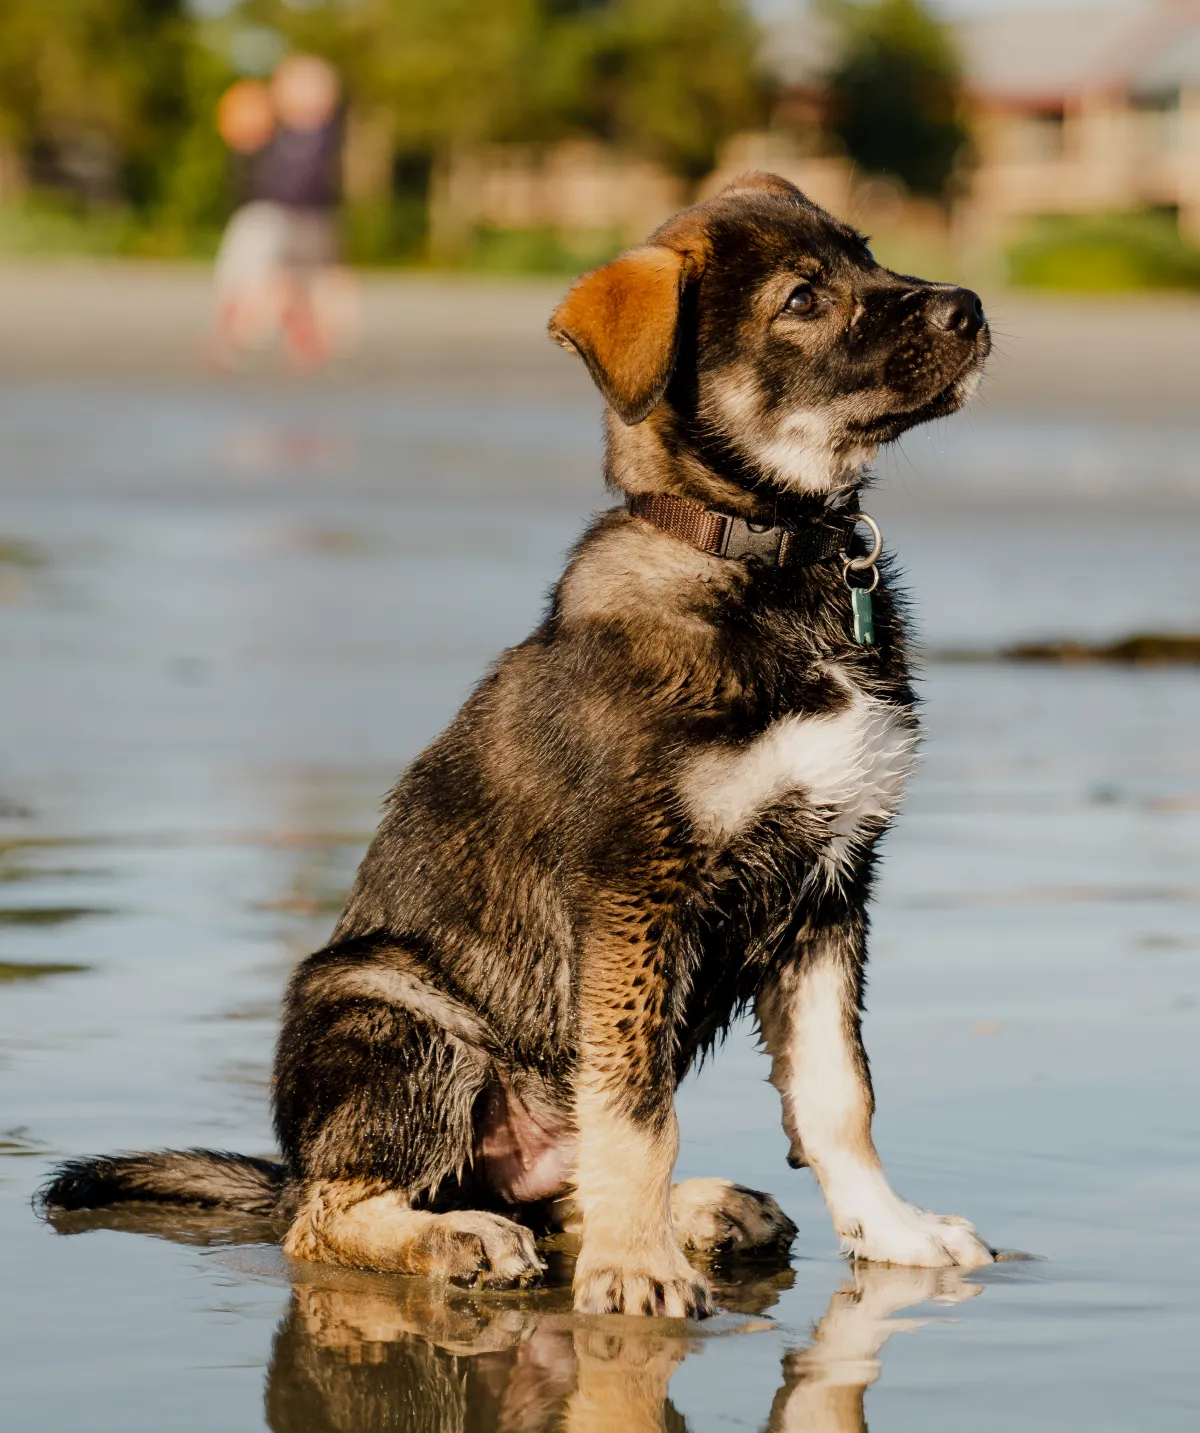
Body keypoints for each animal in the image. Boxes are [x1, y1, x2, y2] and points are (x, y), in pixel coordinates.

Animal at [42, 173, 992, 1312]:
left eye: (868, 254)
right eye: (802, 298)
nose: (972, 309)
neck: (772, 565)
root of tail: (294, 1160)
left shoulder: (832, 883)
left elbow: (836, 1093)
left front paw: (894, 1230)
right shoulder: (637, 884)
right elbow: (635, 1107)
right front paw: (638, 1271)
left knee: (551, 1188)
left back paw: (695, 1210)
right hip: (394, 1010)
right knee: (327, 1215)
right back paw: (461, 1237)